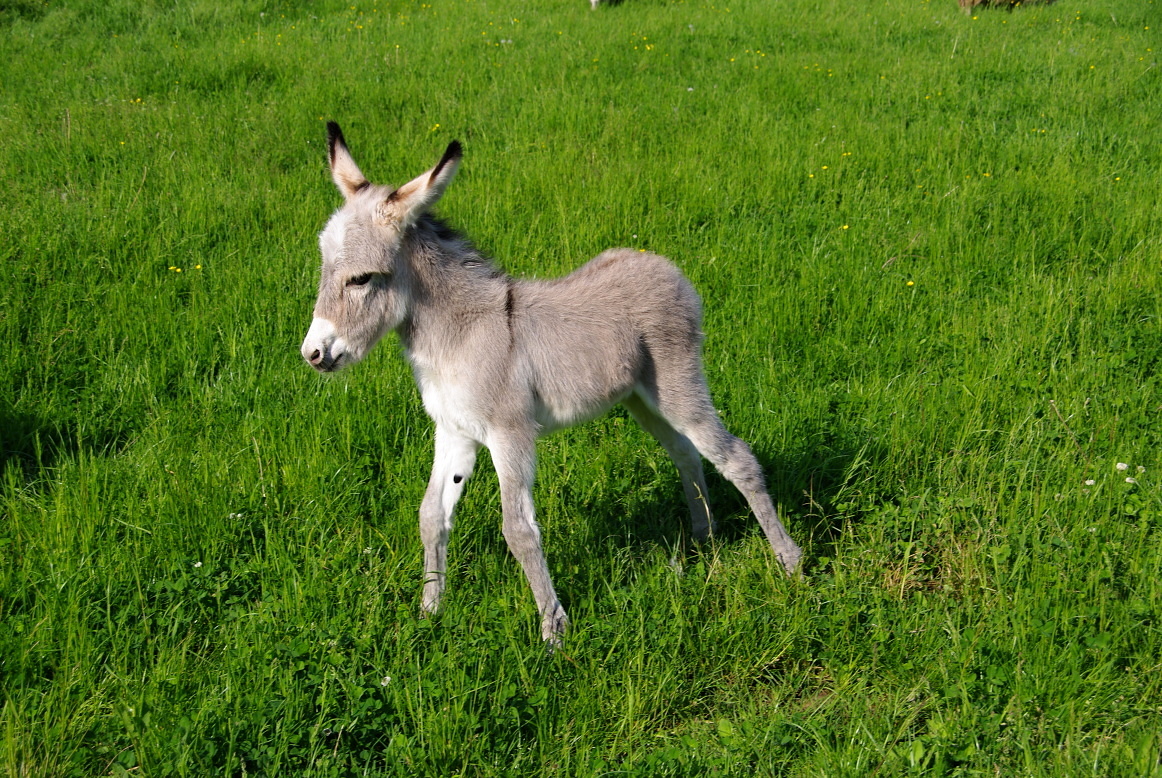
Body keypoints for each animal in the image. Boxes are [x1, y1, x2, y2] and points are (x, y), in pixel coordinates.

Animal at [304, 123, 804, 645]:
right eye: (323, 265)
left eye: (362, 279)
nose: (312, 354)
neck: (458, 334)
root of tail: (665, 266)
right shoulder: (454, 431)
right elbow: (431, 515)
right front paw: (429, 611)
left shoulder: (510, 434)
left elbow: (519, 530)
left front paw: (553, 631)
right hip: (641, 398)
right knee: (685, 452)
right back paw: (705, 540)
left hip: (678, 384)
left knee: (736, 458)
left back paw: (790, 564)